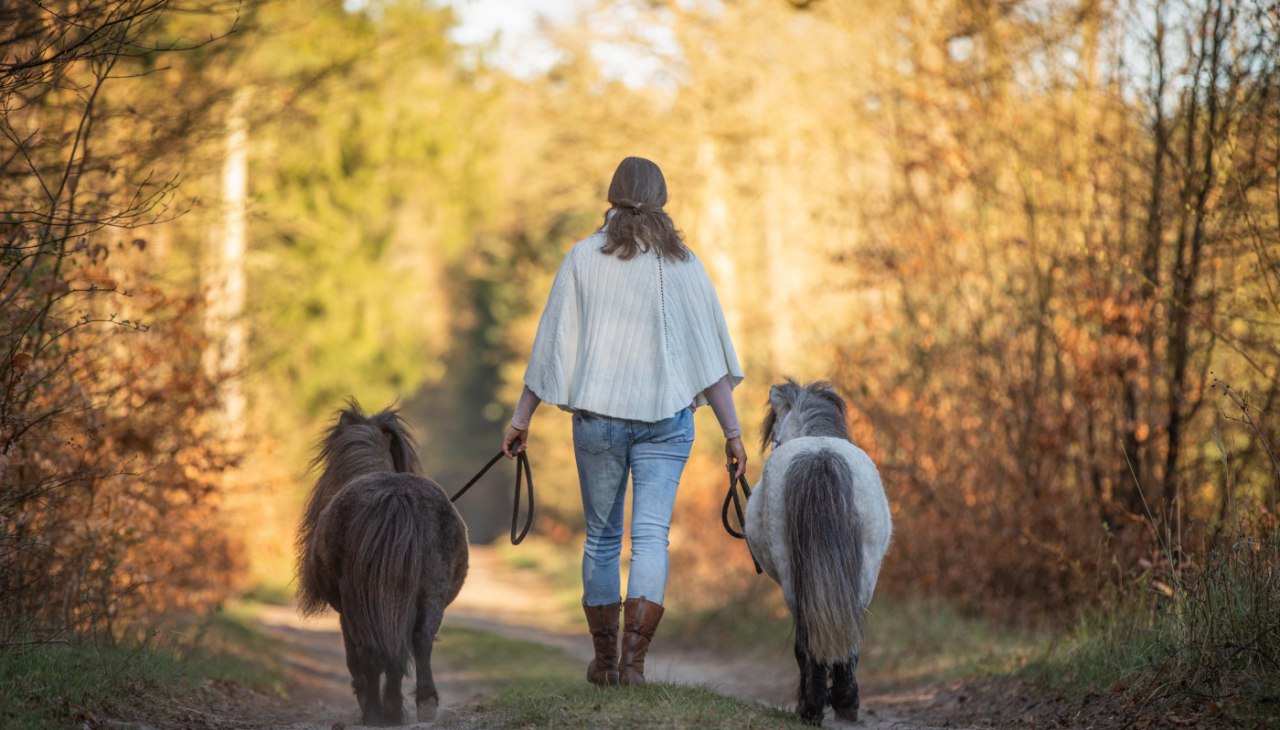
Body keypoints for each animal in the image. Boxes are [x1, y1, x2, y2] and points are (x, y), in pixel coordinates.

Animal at [297, 402, 468, 726]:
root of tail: (397, 496)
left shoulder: (346, 613)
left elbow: (358, 660)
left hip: (357, 605)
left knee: (370, 651)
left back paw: (376, 712)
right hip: (430, 596)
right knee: (420, 641)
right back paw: (422, 705)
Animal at [744, 380, 892, 725]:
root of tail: (820, 457)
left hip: (791, 577)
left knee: (807, 640)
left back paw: (812, 708)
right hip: (865, 573)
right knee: (849, 635)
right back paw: (846, 702)